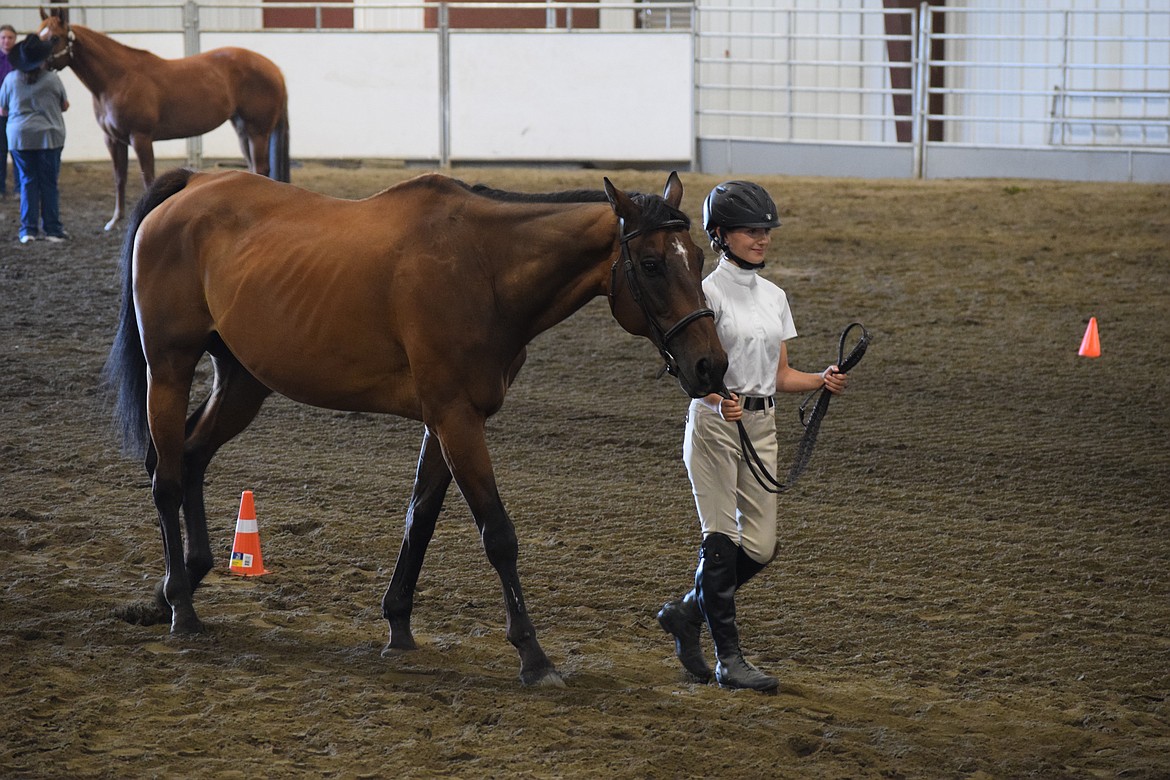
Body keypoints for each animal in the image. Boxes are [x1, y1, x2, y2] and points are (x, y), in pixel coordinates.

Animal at [37, 9, 290, 230]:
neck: (118, 78)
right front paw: (115, 220)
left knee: (261, 167)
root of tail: (274, 68)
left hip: (258, 131)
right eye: (38, 34)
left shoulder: (140, 137)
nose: (36, 67)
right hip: (242, 129)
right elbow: (119, 178)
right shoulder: (113, 140)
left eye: (54, 38)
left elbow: (148, 178)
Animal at [107, 168, 730, 687]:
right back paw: (181, 608)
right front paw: (533, 656)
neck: (484, 267)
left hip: (243, 381)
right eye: (651, 264)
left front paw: (398, 625)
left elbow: (421, 518)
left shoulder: (448, 418)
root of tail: (194, 184)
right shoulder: (456, 418)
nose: (710, 365)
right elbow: (497, 534)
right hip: (169, 368)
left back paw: (176, 587)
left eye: (699, 259)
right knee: (165, 478)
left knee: (190, 456)